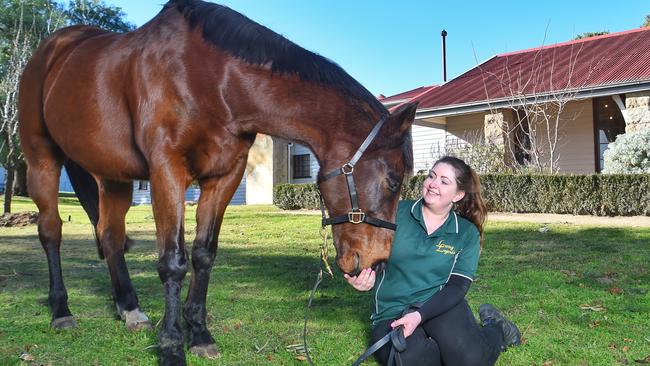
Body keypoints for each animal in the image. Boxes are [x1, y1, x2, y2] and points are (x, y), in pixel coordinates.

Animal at [20, 1, 416, 364]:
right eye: (393, 180)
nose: (377, 262)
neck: (214, 79)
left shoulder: (225, 176)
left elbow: (203, 254)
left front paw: (199, 334)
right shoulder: (167, 171)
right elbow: (173, 261)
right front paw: (171, 347)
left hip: (112, 177)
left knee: (110, 236)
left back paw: (130, 309)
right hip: (42, 161)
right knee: (51, 231)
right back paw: (61, 312)